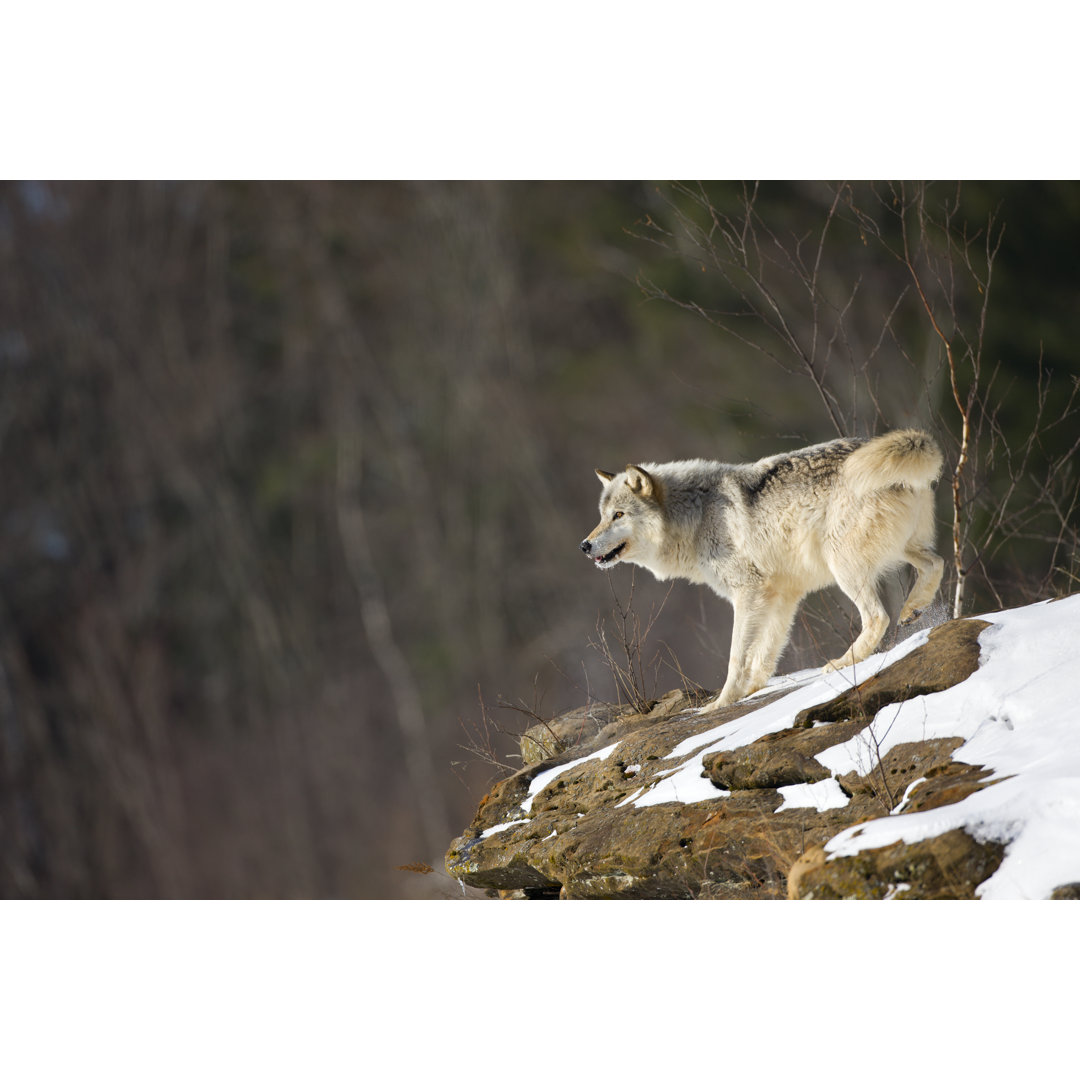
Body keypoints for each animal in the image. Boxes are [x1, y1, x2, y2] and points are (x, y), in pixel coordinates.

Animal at [578, 429, 941, 708]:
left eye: (619, 515)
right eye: (602, 515)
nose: (584, 545)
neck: (697, 515)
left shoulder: (748, 594)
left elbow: (737, 657)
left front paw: (720, 704)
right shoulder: (781, 595)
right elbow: (766, 653)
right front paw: (752, 690)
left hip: (843, 565)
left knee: (878, 616)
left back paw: (842, 662)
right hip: (903, 551)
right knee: (936, 564)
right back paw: (912, 609)